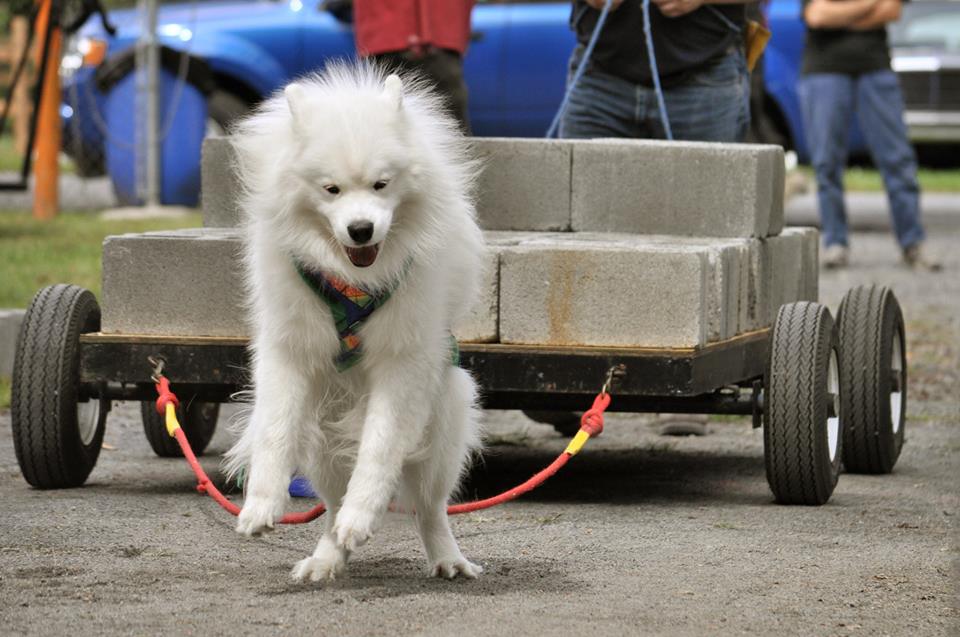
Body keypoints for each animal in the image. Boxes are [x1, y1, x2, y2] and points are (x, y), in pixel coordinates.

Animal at [227, 63, 488, 580]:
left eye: (381, 185)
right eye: (331, 189)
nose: (361, 230)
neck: (352, 282)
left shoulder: (403, 359)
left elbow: (380, 448)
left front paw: (363, 516)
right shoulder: (288, 348)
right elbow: (273, 429)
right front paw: (261, 506)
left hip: (445, 415)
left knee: (430, 507)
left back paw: (446, 558)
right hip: (324, 434)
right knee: (329, 507)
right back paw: (326, 558)